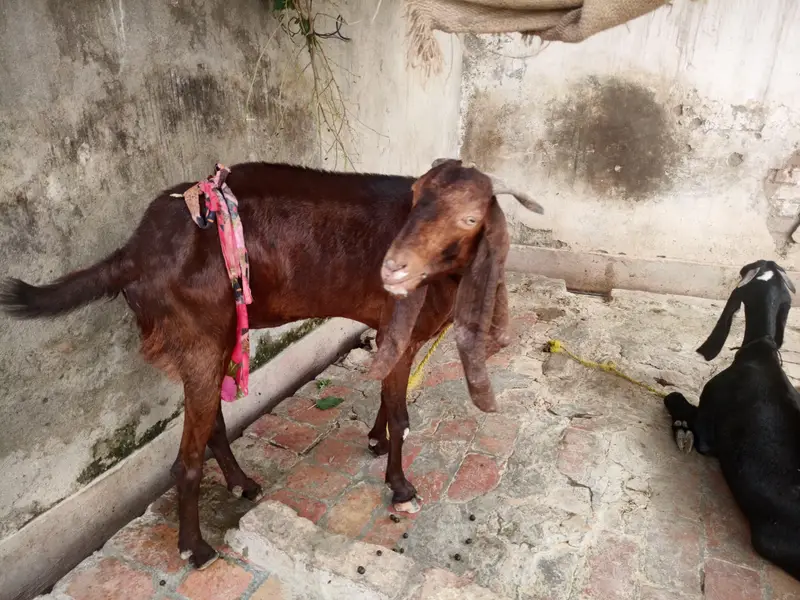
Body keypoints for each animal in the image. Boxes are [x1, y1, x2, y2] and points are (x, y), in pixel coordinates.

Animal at [0, 159, 543, 570]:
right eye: (414, 201)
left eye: (470, 218)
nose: (394, 268)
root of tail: (134, 252)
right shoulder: (401, 326)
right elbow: (401, 412)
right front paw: (401, 486)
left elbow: (389, 399)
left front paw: (375, 440)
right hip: (199, 336)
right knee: (186, 458)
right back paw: (195, 548)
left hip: (217, 338)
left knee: (212, 422)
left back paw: (241, 484)